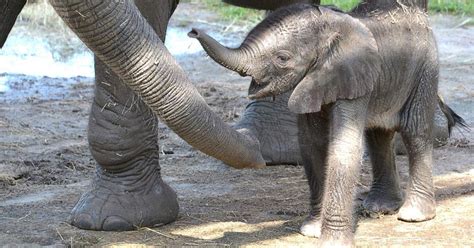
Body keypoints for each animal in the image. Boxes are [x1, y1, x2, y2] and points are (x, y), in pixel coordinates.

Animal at [190, 1, 462, 246]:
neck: (332, 32)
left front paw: (332, 241)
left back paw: (414, 215)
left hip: (425, 70)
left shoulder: (352, 78)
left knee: (414, 131)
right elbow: (312, 145)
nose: (193, 32)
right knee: (378, 134)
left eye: (282, 58)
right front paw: (310, 230)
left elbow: (343, 146)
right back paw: (380, 207)